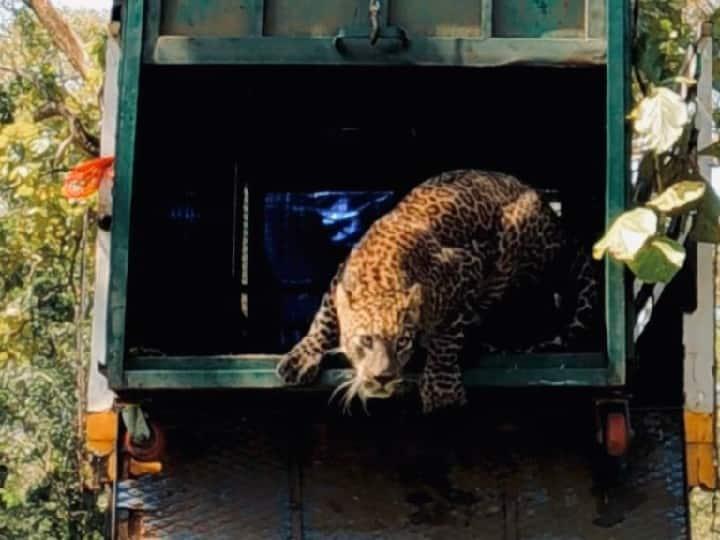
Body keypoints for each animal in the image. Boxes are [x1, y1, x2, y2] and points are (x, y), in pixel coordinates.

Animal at [272, 170, 600, 414]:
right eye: (366, 340)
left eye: (402, 341)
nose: (383, 378)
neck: (381, 280)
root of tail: (559, 224)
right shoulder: (340, 276)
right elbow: (324, 317)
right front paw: (300, 358)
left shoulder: (468, 266)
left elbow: (447, 332)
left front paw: (442, 389)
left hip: (516, 232)